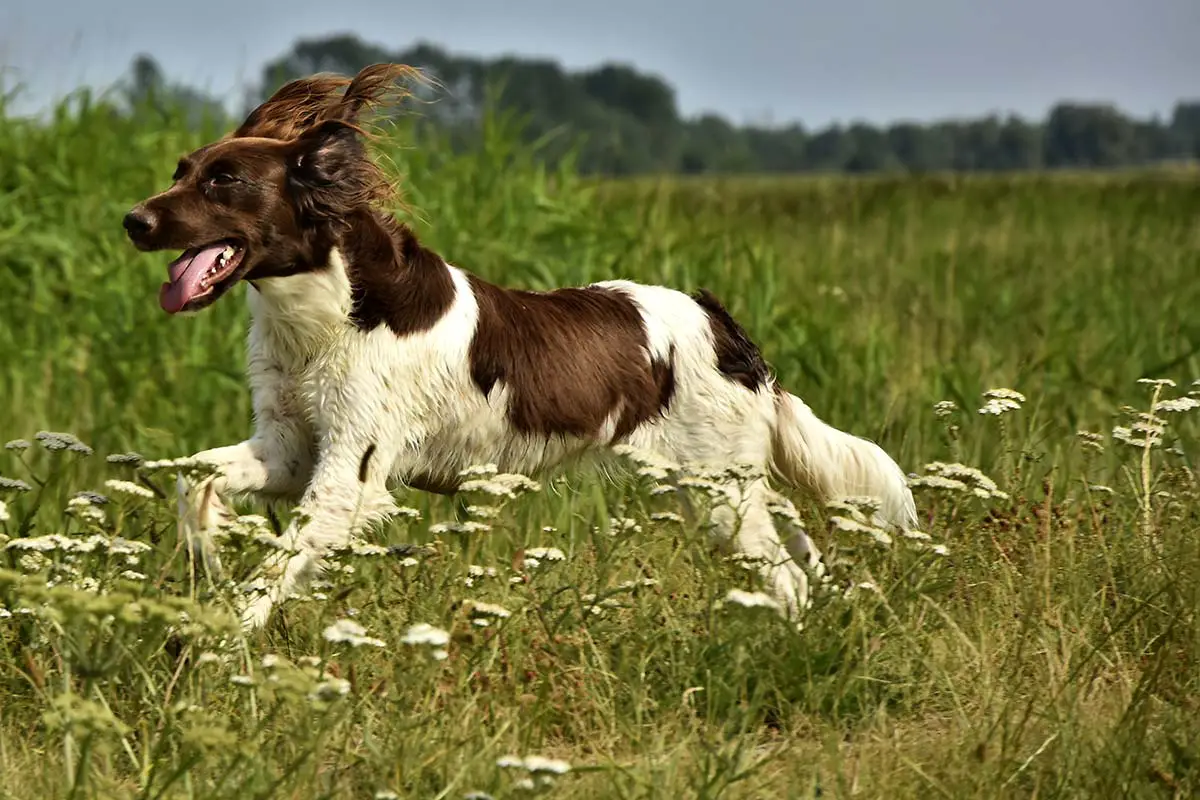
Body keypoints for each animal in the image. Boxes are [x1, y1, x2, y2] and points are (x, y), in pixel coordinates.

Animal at [121, 64, 912, 633]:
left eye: (224, 180)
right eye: (181, 170)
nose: (132, 220)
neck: (329, 310)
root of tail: (724, 326)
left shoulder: (349, 475)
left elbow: (271, 572)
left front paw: (217, 640)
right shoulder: (289, 447)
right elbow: (196, 481)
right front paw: (208, 551)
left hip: (718, 489)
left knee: (786, 574)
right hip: (720, 486)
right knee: (799, 545)